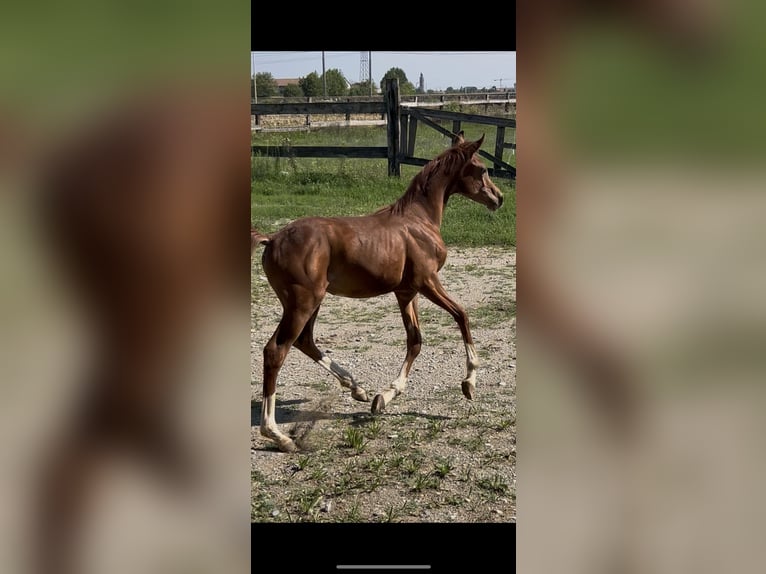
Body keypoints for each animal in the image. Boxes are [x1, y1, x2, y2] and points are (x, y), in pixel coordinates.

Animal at [251, 131, 504, 453]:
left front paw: (384, 396)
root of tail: (271, 239)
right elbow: (462, 316)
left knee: (304, 341)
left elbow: (415, 341)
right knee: (276, 350)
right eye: (482, 169)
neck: (419, 220)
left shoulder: (406, 292)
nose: (499, 198)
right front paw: (469, 383)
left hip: (308, 301)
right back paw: (277, 435)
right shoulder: (427, 281)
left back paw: (356, 387)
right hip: (302, 302)